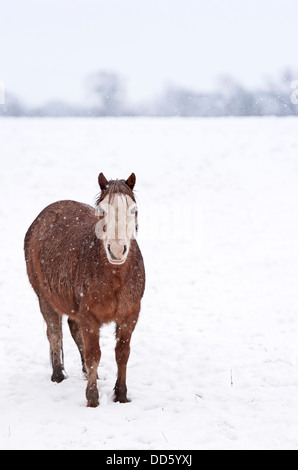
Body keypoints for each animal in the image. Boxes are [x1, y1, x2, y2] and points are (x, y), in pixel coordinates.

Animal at [24, 173, 146, 408]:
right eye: (101, 211)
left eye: (133, 210)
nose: (117, 250)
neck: (114, 276)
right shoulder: (89, 316)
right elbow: (94, 355)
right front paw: (92, 398)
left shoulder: (130, 314)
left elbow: (122, 353)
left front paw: (121, 394)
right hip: (45, 298)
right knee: (55, 333)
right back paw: (58, 375)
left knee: (74, 330)